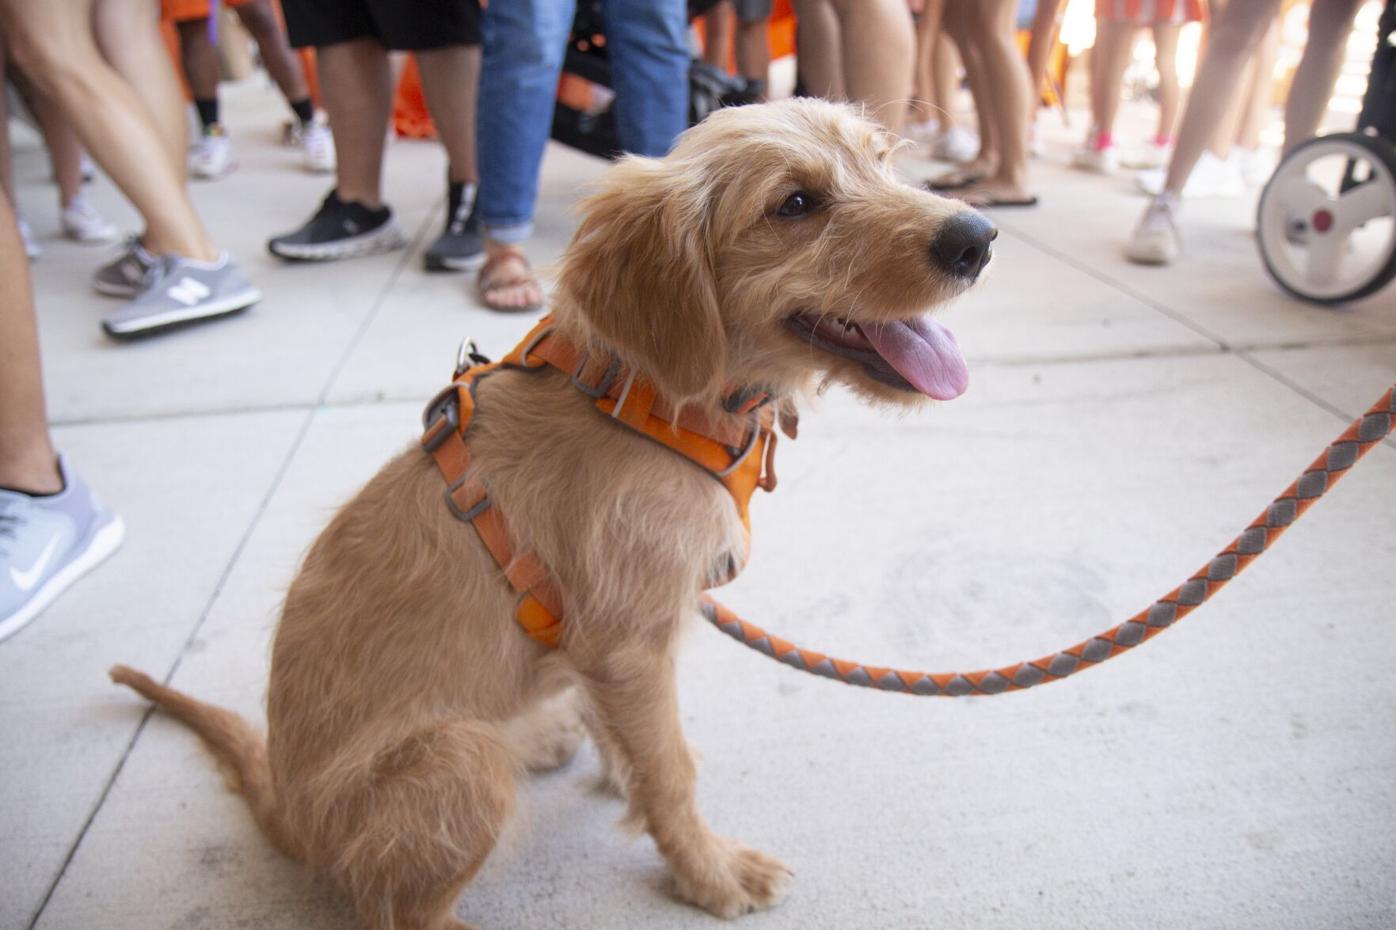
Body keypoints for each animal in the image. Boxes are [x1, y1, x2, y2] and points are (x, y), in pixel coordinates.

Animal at [108, 97, 993, 921]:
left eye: (884, 161)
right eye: (796, 204)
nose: (977, 237)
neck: (647, 398)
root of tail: (289, 814)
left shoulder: (601, 647)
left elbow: (630, 742)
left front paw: (629, 786)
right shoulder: (631, 645)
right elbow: (670, 770)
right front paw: (708, 873)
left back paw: (537, 734)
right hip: (461, 759)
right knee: (403, 910)